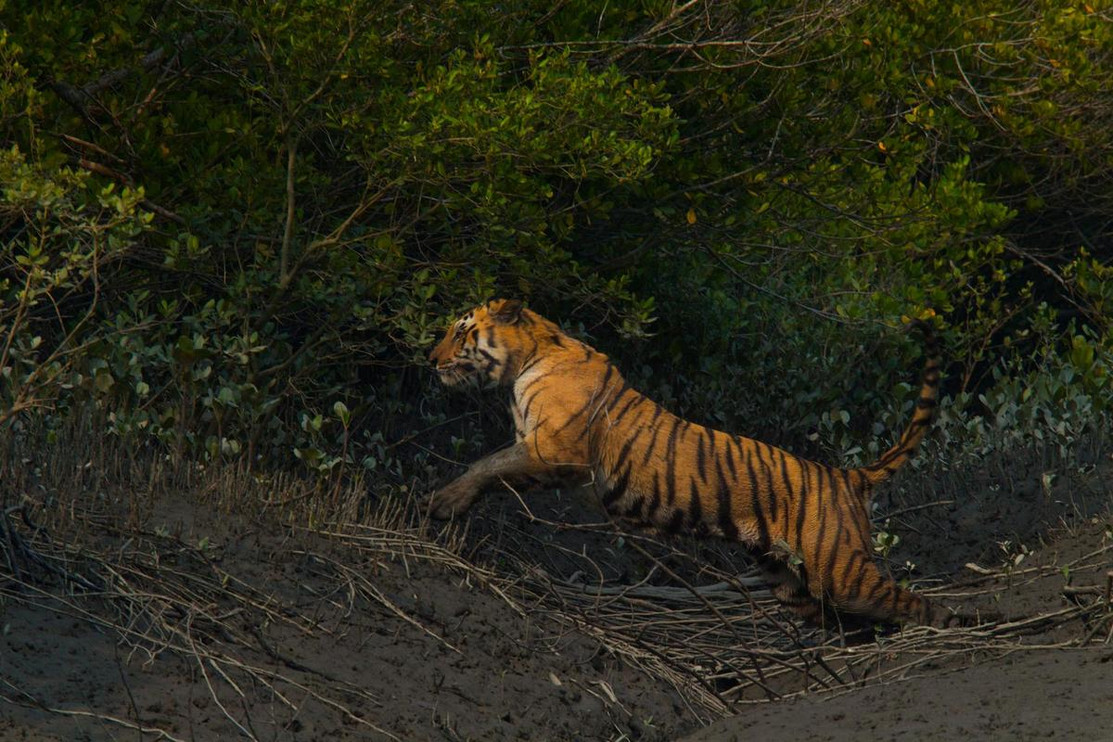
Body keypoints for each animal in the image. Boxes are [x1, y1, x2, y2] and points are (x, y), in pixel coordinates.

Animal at [427, 298, 969, 628]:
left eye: (461, 332)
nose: (431, 360)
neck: (527, 360)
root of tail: (846, 475)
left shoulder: (558, 451)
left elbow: (487, 462)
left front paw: (443, 501)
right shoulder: (541, 454)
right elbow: (495, 467)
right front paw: (454, 504)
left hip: (842, 569)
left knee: (910, 602)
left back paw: (951, 628)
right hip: (789, 580)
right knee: (843, 622)